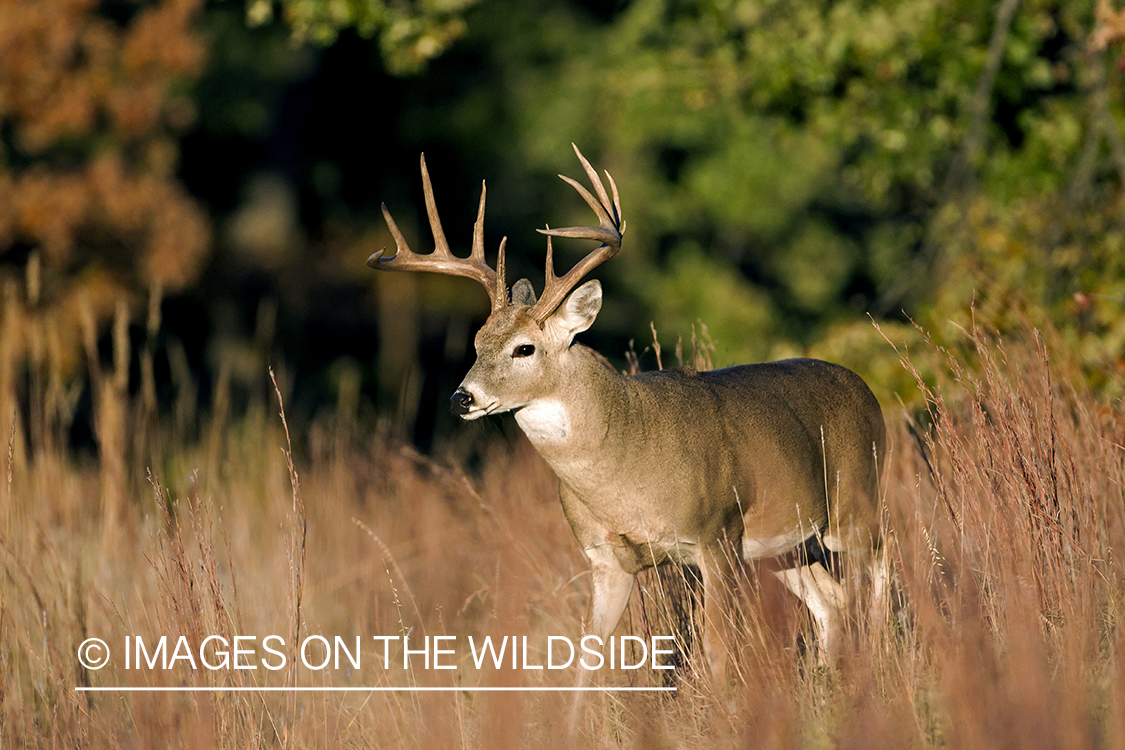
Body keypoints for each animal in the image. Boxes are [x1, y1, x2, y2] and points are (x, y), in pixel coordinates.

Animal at [369, 145, 886, 692]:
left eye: (524, 348)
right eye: (476, 343)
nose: (461, 398)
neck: (625, 469)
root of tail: (866, 390)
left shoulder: (717, 534)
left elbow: (717, 654)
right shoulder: (606, 558)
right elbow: (583, 663)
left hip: (856, 501)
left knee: (879, 573)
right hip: (787, 545)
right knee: (832, 602)